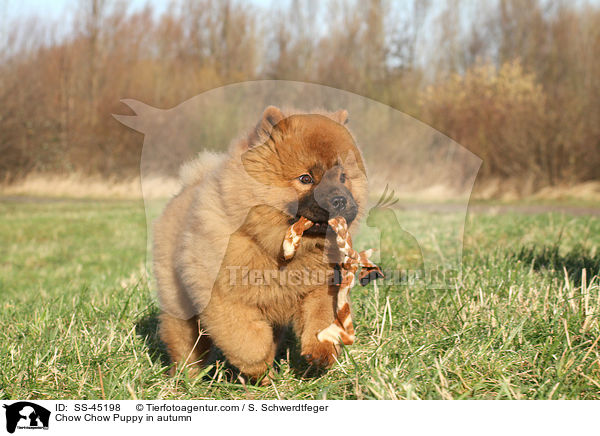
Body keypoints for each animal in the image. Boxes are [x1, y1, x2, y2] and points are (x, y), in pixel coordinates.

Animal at [152, 106, 368, 382]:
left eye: (342, 177)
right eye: (305, 178)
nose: (340, 200)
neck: (282, 250)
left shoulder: (320, 288)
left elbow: (320, 320)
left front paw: (319, 353)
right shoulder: (225, 297)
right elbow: (248, 340)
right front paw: (258, 368)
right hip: (180, 303)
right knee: (184, 342)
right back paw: (185, 378)